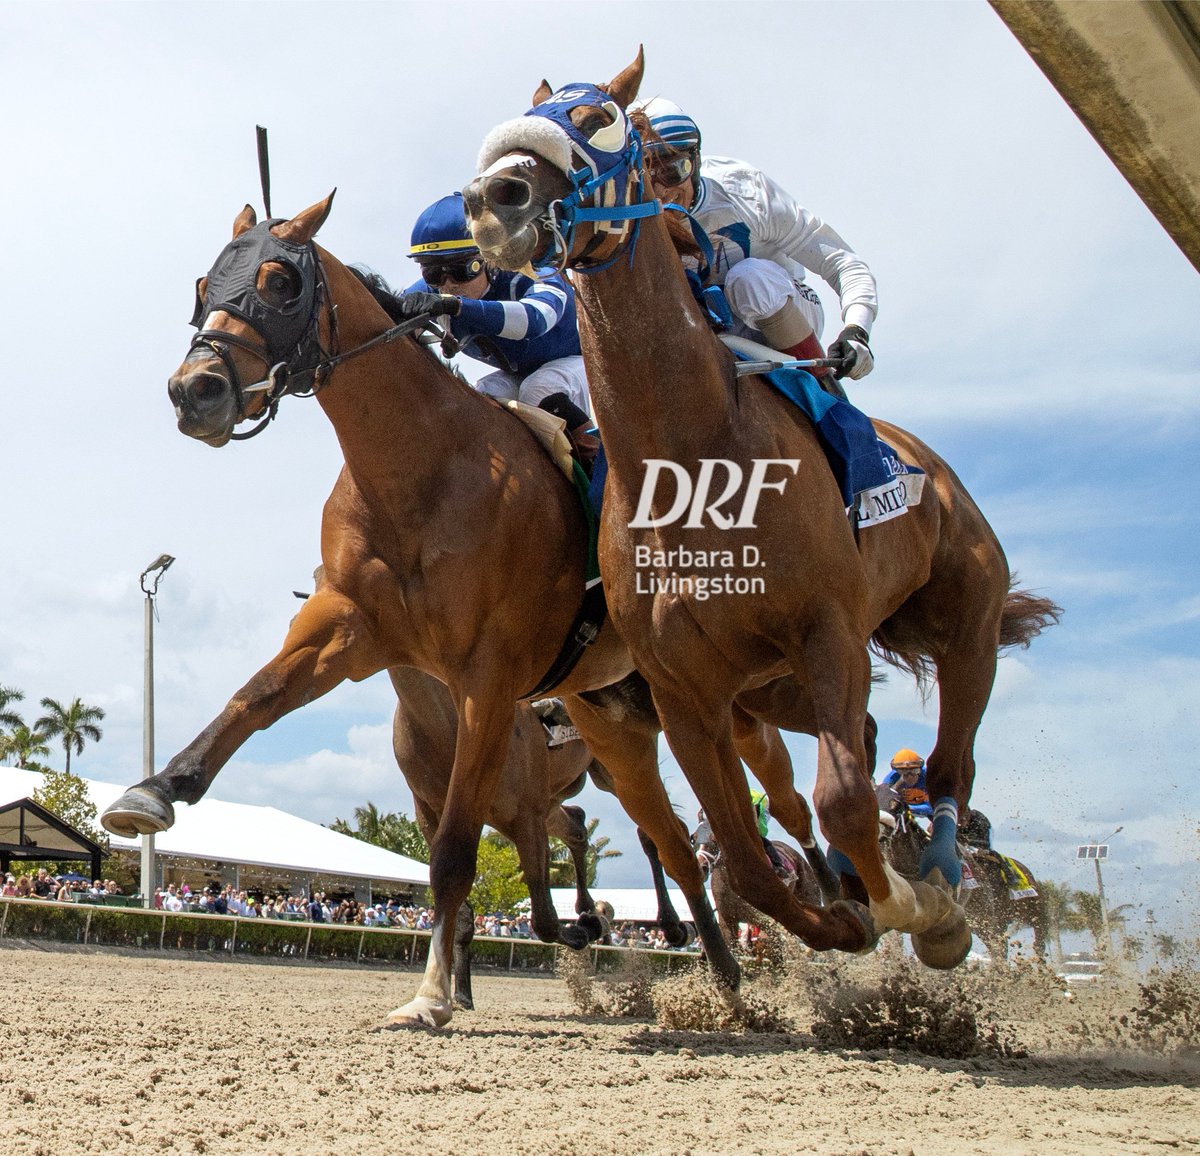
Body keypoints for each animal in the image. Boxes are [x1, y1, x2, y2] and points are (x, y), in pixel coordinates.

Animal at [460, 54, 1060, 969]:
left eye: (599, 118)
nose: (497, 199)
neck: (691, 457)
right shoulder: (686, 691)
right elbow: (741, 857)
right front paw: (839, 915)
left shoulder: (827, 629)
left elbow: (845, 801)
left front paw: (904, 905)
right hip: (772, 691)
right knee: (867, 746)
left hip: (966, 627)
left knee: (948, 768)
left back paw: (943, 885)